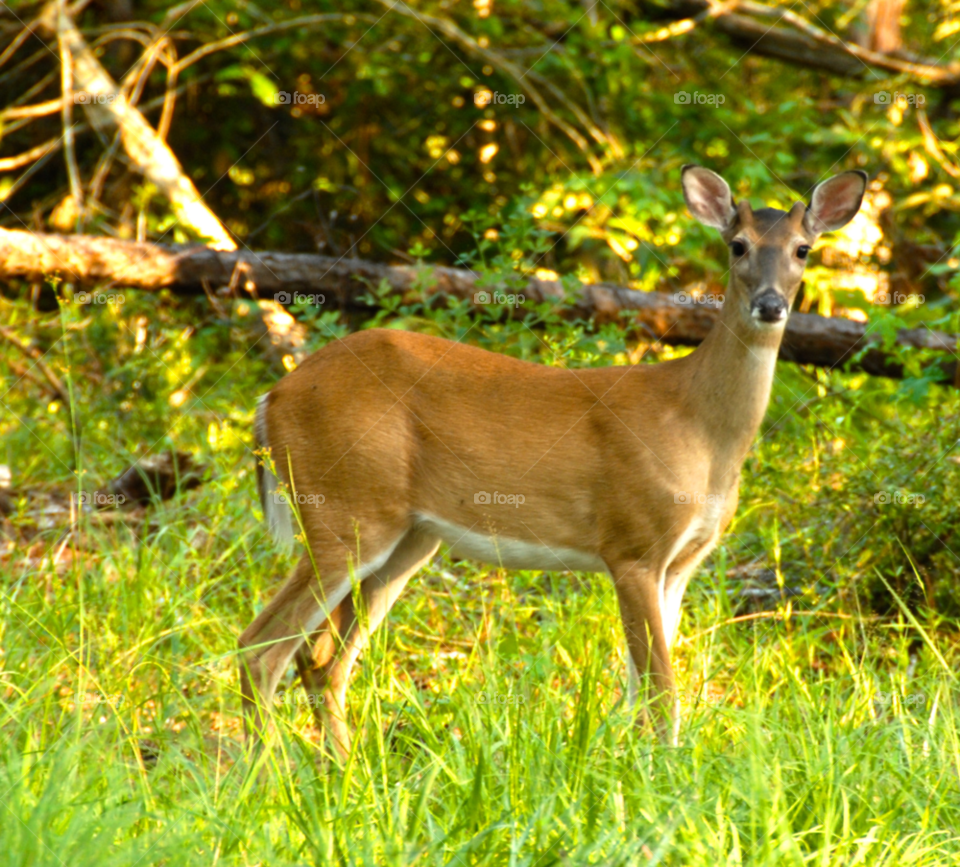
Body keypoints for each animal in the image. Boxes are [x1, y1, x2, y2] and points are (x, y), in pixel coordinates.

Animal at [242, 163, 872, 752]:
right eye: (737, 244)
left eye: (802, 249)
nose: (770, 305)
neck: (699, 427)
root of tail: (272, 398)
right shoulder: (632, 544)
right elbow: (661, 687)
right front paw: (663, 771)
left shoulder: (682, 561)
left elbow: (641, 685)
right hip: (344, 509)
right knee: (262, 648)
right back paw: (270, 773)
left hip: (407, 539)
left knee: (319, 659)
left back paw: (342, 770)